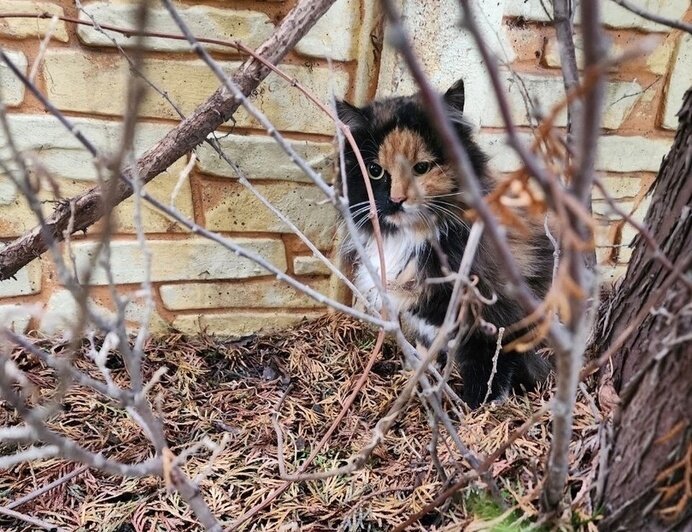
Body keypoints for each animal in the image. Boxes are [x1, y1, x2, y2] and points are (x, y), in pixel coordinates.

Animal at [334, 79, 552, 410]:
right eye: (375, 171)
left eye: (421, 168)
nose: (396, 200)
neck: (413, 237)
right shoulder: (422, 313)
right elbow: (428, 347)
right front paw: (423, 378)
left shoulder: (490, 314)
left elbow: (487, 367)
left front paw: (477, 410)